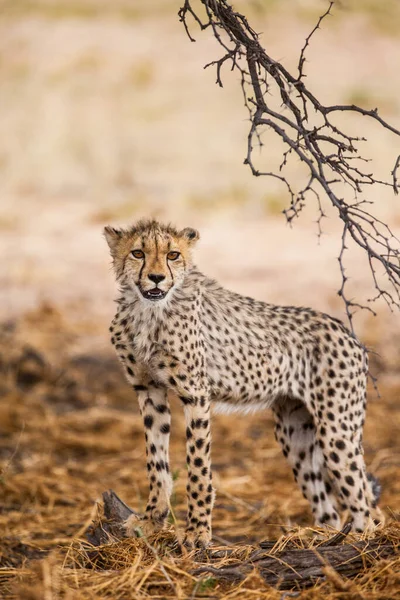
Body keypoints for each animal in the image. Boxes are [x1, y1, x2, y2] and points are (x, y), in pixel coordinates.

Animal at [104, 219, 380, 548]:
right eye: (137, 253)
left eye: (172, 255)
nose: (156, 278)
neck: (147, 310)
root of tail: (348, 333)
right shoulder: (149, 391)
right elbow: (156, 462)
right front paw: (151, 521)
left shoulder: (196, 394)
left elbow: (198, 466)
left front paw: (197, 532)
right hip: (294, 434)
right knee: (330, 509)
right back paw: (318, 537)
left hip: (337, 430)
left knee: (364, 503)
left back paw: (358, 541)